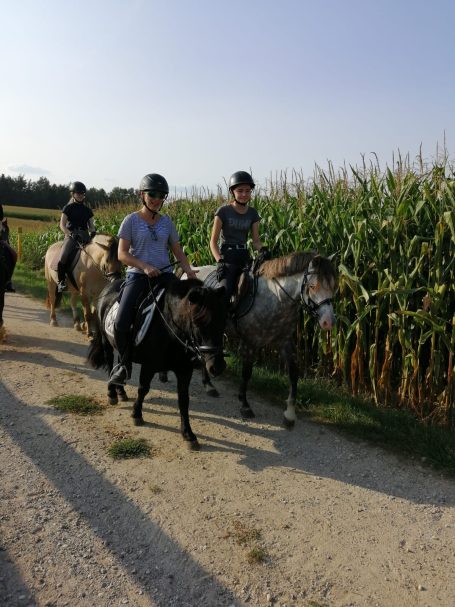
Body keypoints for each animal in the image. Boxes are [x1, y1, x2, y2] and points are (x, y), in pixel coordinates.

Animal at [87, 278, 228, 448]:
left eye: (223, 321)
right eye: (197, 322)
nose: (218, 366)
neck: (169, 329)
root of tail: (109, 285)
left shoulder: (184, 371)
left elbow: (184, 400)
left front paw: (188, 434)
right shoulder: (149, 366)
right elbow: (143, 389)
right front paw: (136, 414)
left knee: (121, 361)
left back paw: (121, 390)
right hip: (106, 341)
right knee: (109, 364)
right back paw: (112, 393)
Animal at [183, 252, 336, 428]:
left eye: (333, 286)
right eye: (312, 286)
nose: (328, 322)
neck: (276, 298)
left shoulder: (285, 341)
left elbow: (293, 373)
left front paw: (290, 414)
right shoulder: (250, 343)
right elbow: (247, 373)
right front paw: (245, 405)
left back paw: (209, 386)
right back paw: (208, 384)